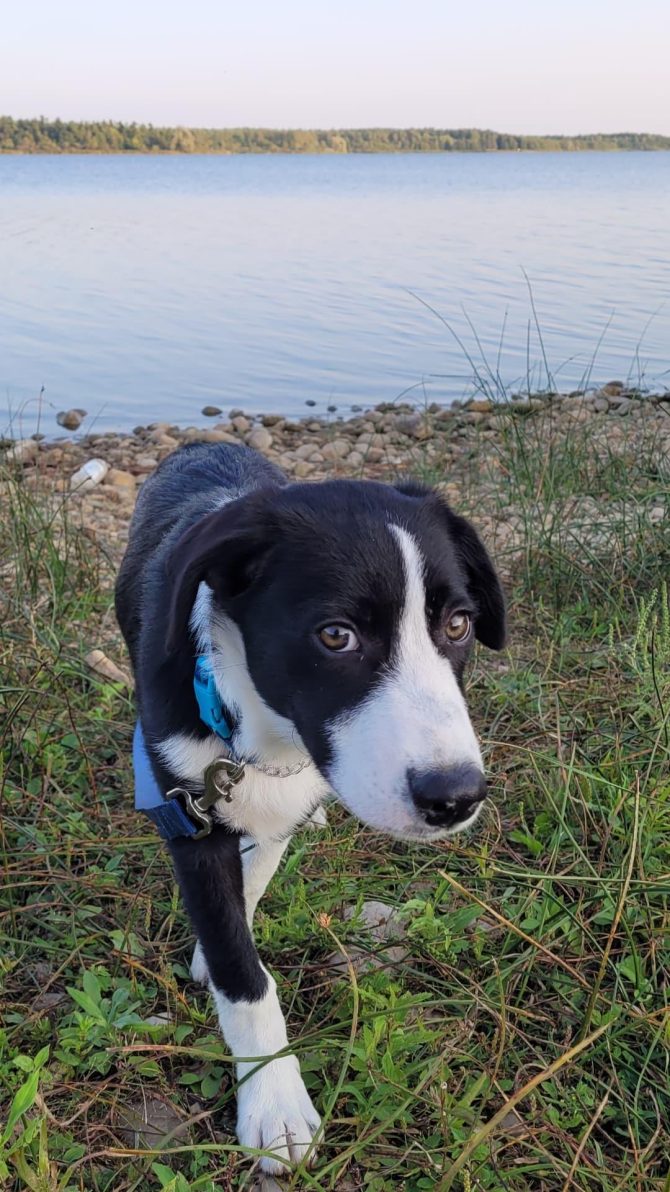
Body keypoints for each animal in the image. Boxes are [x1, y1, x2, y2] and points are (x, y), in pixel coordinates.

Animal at [114, 443, 503, 1177]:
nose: (456, 797)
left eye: (458, 625)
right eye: (335, 636)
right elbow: (244, 975)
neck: (268, 736)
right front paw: (273, 1099)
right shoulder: (187, 811)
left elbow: (261, 859)